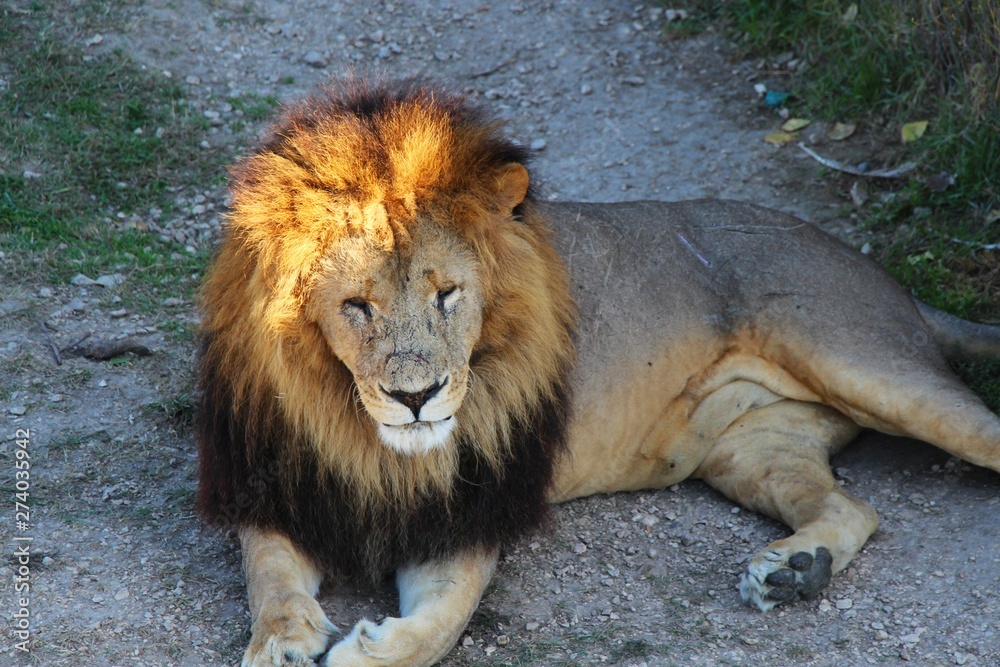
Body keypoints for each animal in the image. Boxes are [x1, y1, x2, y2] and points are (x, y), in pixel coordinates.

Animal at [196, 79, 1000, 667]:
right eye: (356, 306)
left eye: (447, 294)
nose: (416, 396)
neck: (373, 443)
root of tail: (881, 273)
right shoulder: (272, 482)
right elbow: (268, 575)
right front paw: (280, 642)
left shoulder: (475, 509)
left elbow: (442, 622)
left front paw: (368, 650)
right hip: (754, 447)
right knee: (854, 506)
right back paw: (796, 570)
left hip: (866, 360)